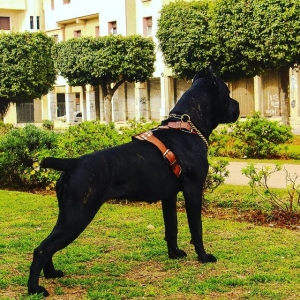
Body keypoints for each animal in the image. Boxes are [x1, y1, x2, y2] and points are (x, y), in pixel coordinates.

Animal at [27, 68, 239, 296]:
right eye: (227, 94)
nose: (237, 105)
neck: (185, 126)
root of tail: (73, 163)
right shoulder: (193, 191)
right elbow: (196, 229)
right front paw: (204, 257)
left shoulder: (169, 197)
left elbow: (171, 228)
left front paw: (174, 253)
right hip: (77, 216)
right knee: (43, 249)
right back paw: (34, 288)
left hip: (69, 216)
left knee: (48, 245)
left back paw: (51, 273)